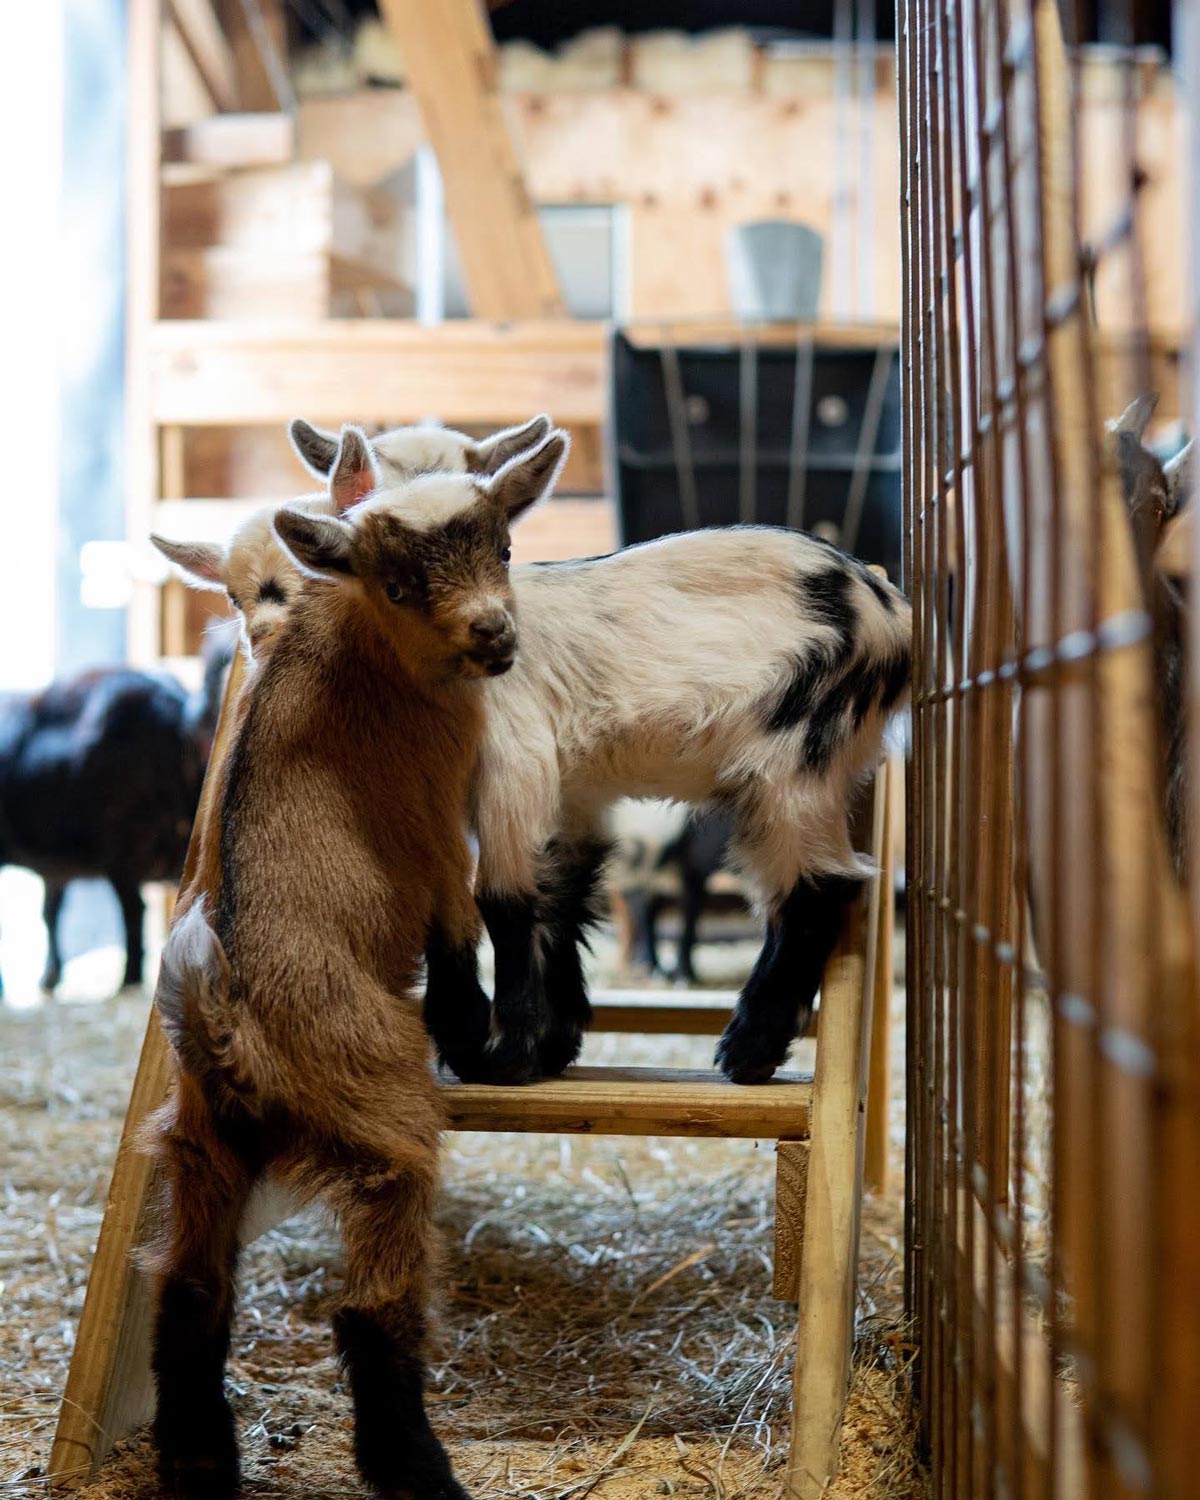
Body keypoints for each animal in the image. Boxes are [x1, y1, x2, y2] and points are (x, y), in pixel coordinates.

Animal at [147, 426, 567, 1500]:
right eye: (402, 583)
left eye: (505, 545)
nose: (494, 635)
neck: (357, 638)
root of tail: (230, 1030)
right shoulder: (437, 819)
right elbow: (461, 921)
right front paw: (473, 1033)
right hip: (381, 1120)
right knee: (372, 1303)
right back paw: (418, 1469)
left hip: (201, 1144)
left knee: (193, 1287)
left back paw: (201, 1461)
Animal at [168, 416, 910, 1086]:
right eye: (396, 584)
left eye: (504, 550)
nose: (494, 634)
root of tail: (894, 614)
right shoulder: (561, 791)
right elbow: (556, 892)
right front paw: (550, 1043)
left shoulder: (513, 762)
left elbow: (503, 899)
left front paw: (508, 1055)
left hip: (800, 755)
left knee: (817, 890)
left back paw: (748, 1049)